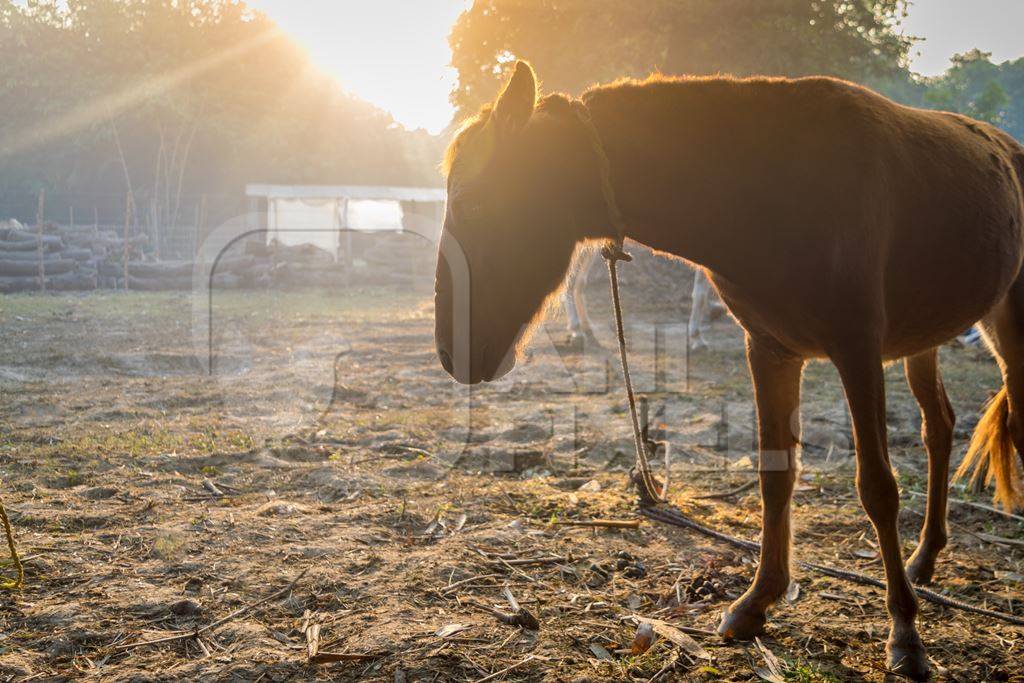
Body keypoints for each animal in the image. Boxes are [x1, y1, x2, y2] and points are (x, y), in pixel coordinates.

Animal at [434, 62, 1024, 679]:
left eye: (474, 206)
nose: (452, 354)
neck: (768, 183)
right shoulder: (769, 349)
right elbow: (775, 473)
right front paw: (757, 602)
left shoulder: (856, 348)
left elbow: (877, 488)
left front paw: (905, 633)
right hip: (922, 340)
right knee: (940, 427)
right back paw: (925, 558)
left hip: (1007, 323)